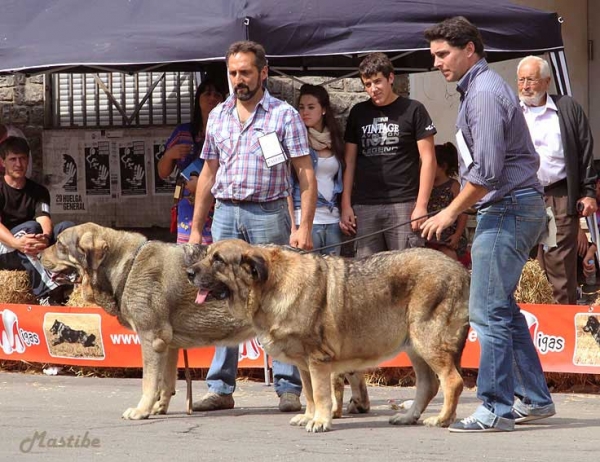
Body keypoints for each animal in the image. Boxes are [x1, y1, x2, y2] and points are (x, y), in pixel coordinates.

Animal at [185, 240, 472, 432]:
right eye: (207, 255)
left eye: (218, 260)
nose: (188, 272)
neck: (269, 285)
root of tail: (461, 269)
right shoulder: (304, 364)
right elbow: (310, 394)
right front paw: (309, 416)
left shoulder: (318, 360)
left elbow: (322, 394)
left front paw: (321, 421)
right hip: (415, 346)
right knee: (428, 384)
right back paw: (408, 416)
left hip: (428, 341)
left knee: (452, 381)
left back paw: (442, 419)